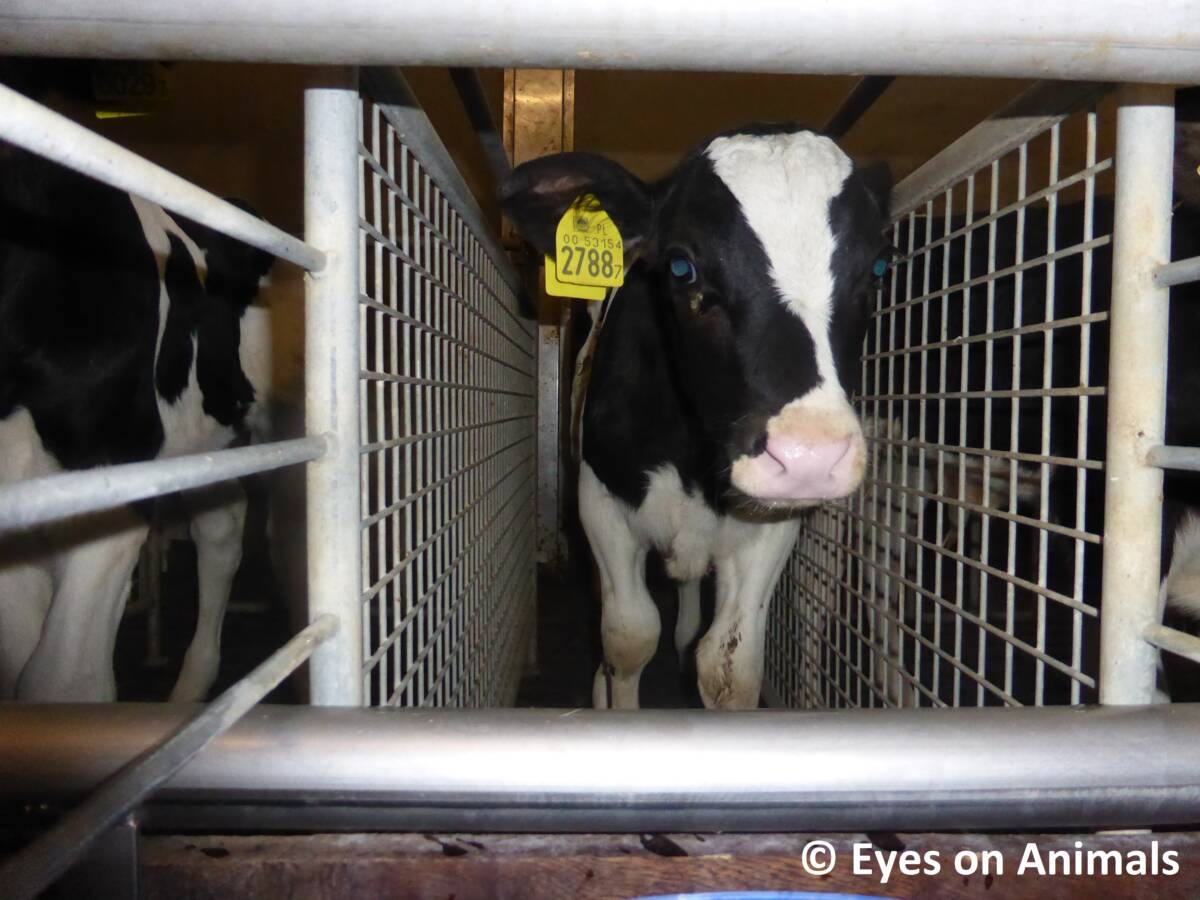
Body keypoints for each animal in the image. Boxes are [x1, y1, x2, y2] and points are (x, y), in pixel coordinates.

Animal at [501, 127, 888, 710]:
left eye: (878, 270)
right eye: (682, 267)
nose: (808, 456)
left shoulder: (771, 527)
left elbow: (729, 666)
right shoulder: (600, 503)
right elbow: (628, 638)